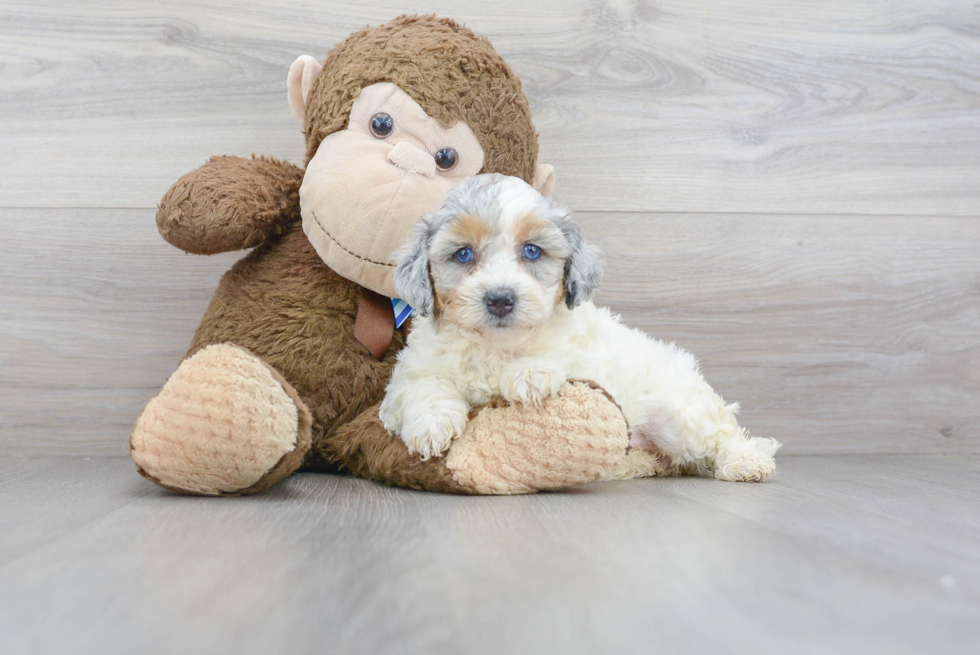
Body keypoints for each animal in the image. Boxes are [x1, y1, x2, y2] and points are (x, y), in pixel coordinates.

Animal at [378, 174, 780, 482]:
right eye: (463, 254)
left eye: (532, 251)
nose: (500, 298)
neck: (497, 345)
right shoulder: (413, 370)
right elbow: (422, 385)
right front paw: (432, 424)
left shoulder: (586, 351)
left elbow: (559, 356)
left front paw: (530, 374)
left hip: (680, 414)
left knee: (721, 436)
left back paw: (745, 461)